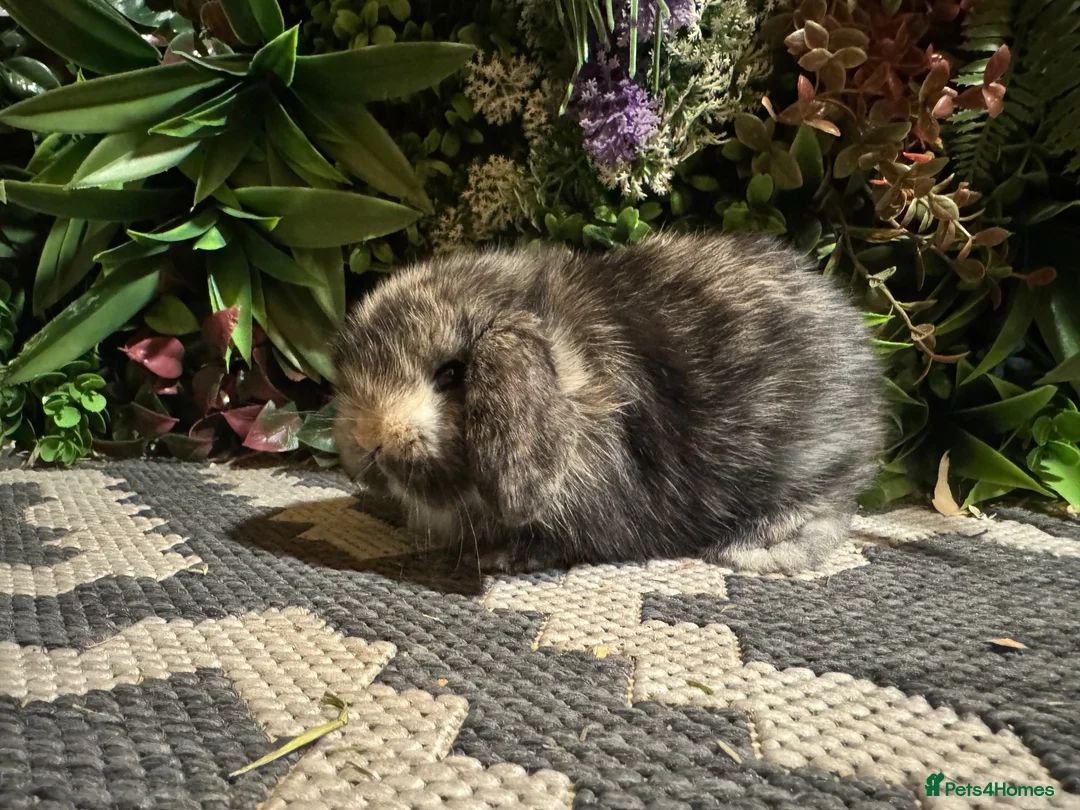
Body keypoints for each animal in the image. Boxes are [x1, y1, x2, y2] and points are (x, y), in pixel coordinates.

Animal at [330, 232, 886, 575]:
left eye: (451, 373)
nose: (368, 440)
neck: (573, 376)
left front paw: (495, 558)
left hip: (815, 468)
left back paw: (754, 551)